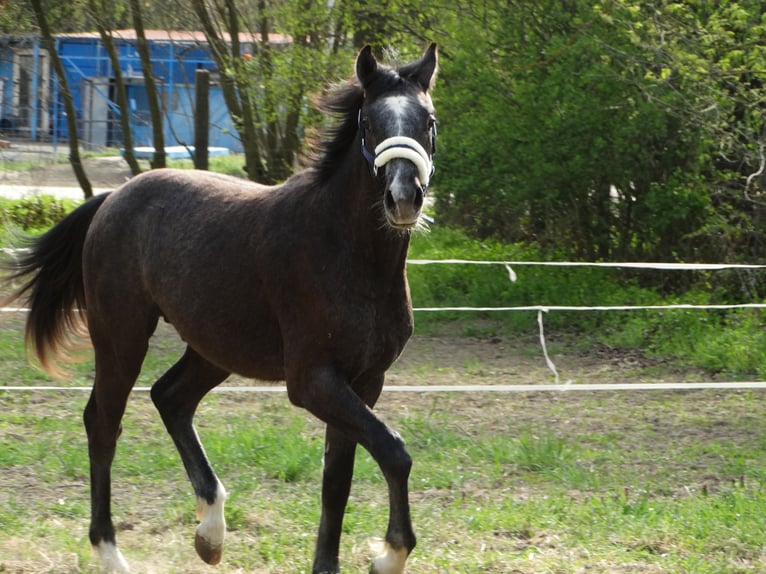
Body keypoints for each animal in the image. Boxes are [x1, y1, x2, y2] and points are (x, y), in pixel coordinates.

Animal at [2, 44, 438, 573]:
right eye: (369, 124)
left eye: (429, 122)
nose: (404, 198)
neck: (350, 255)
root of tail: (112, 198)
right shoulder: (313, 380)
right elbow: (394, 451)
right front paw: (390, 554)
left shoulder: (364, 381)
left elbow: (338, 480)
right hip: (121, 335)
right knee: (103, 423)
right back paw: (111, 552)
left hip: (213, 347)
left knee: (170, 397)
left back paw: (210, 532)